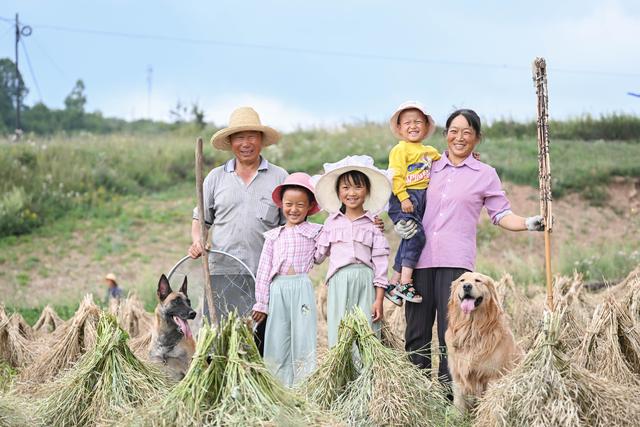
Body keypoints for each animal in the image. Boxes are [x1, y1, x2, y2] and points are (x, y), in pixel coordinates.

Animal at [442, 272, 524, 412]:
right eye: (462, 280)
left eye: (478, 280)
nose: (467, 286)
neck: (471, 330)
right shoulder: (458, 376)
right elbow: (459, 403)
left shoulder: (494, 376)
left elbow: (489, 406)